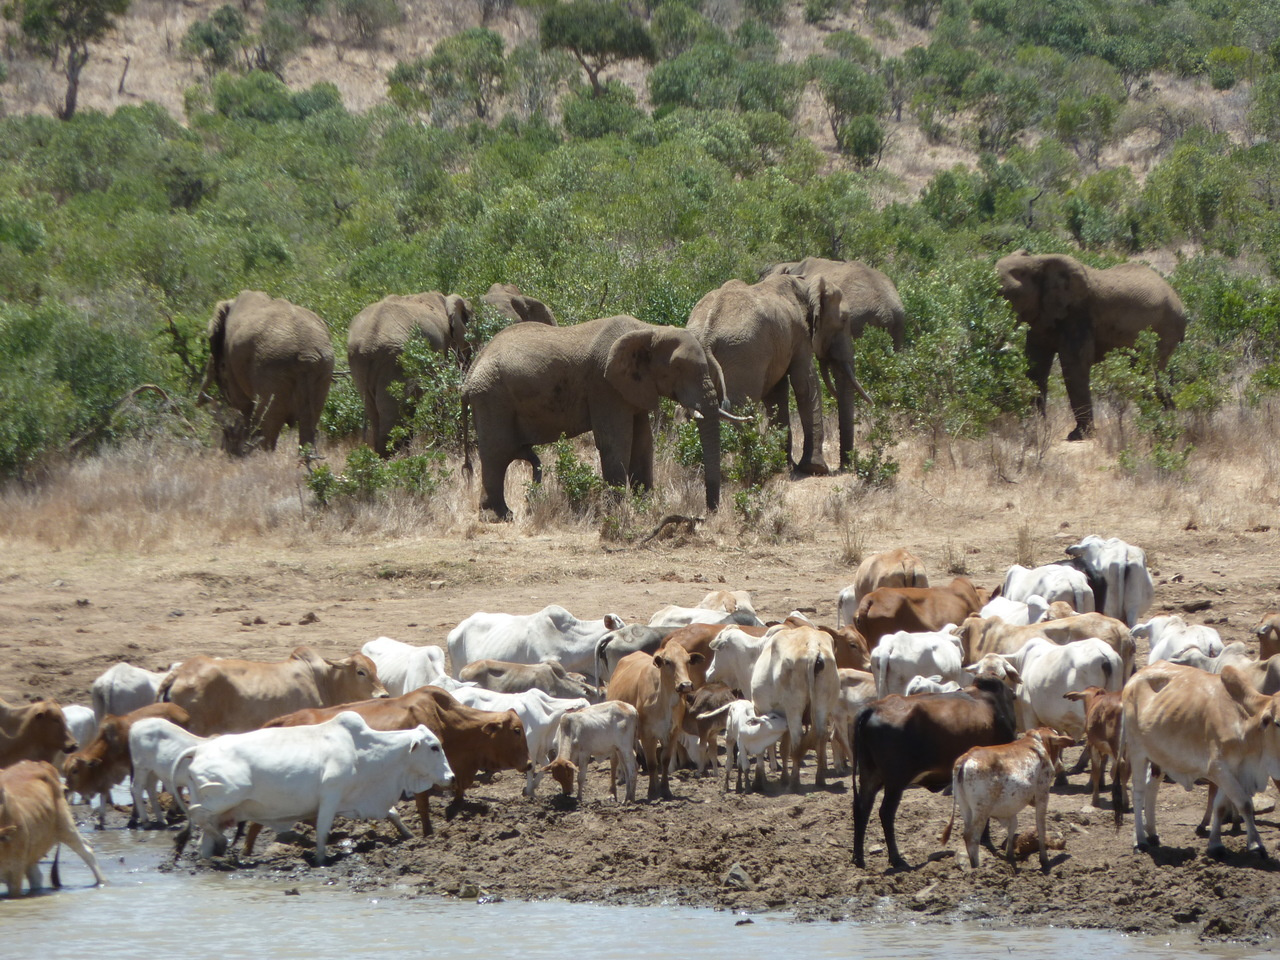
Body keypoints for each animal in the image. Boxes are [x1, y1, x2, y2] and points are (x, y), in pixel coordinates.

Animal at [200, 290, 334, 455]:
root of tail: (307, 355)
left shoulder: (232, 362)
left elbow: (243, 405)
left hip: (272, 370)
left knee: (269, 423)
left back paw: (261, 456)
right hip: (323, 370)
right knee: (309, 421)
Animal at [346, 292, 474, 457]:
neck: (446, 299)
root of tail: (368, 344)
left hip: (359, 365)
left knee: (375, 410)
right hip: (396, 360)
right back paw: (399, 457)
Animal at [461, 315, 745, 520]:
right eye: (678, 368)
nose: (707, 513)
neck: (650, 330)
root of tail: (472, 370)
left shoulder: (633, 388)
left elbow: (643, 443)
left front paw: (644, 505)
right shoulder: (604, 385)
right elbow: (617, 441)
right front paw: (618, 511)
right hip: (491, 396)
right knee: (498, 452)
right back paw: (498, 517)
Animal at [686, 273, 872, 505]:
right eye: (845, 320)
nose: (846, 466)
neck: (805, 284)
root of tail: (707, 335)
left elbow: (776, 394)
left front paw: (788, 466)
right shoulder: (800, 335)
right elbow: (805, 384)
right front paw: (815, 468)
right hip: (743, 355)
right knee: (739, 410)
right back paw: (754, 469)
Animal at [995, 251, 1187, 441]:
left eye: (1005, 295)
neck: (1036, 260)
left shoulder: (1079, 313)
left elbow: (1074, 364)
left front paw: (1078, 436)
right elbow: (1036, 366)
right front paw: (1034, 430)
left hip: (1166, 328)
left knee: (1152, 372)